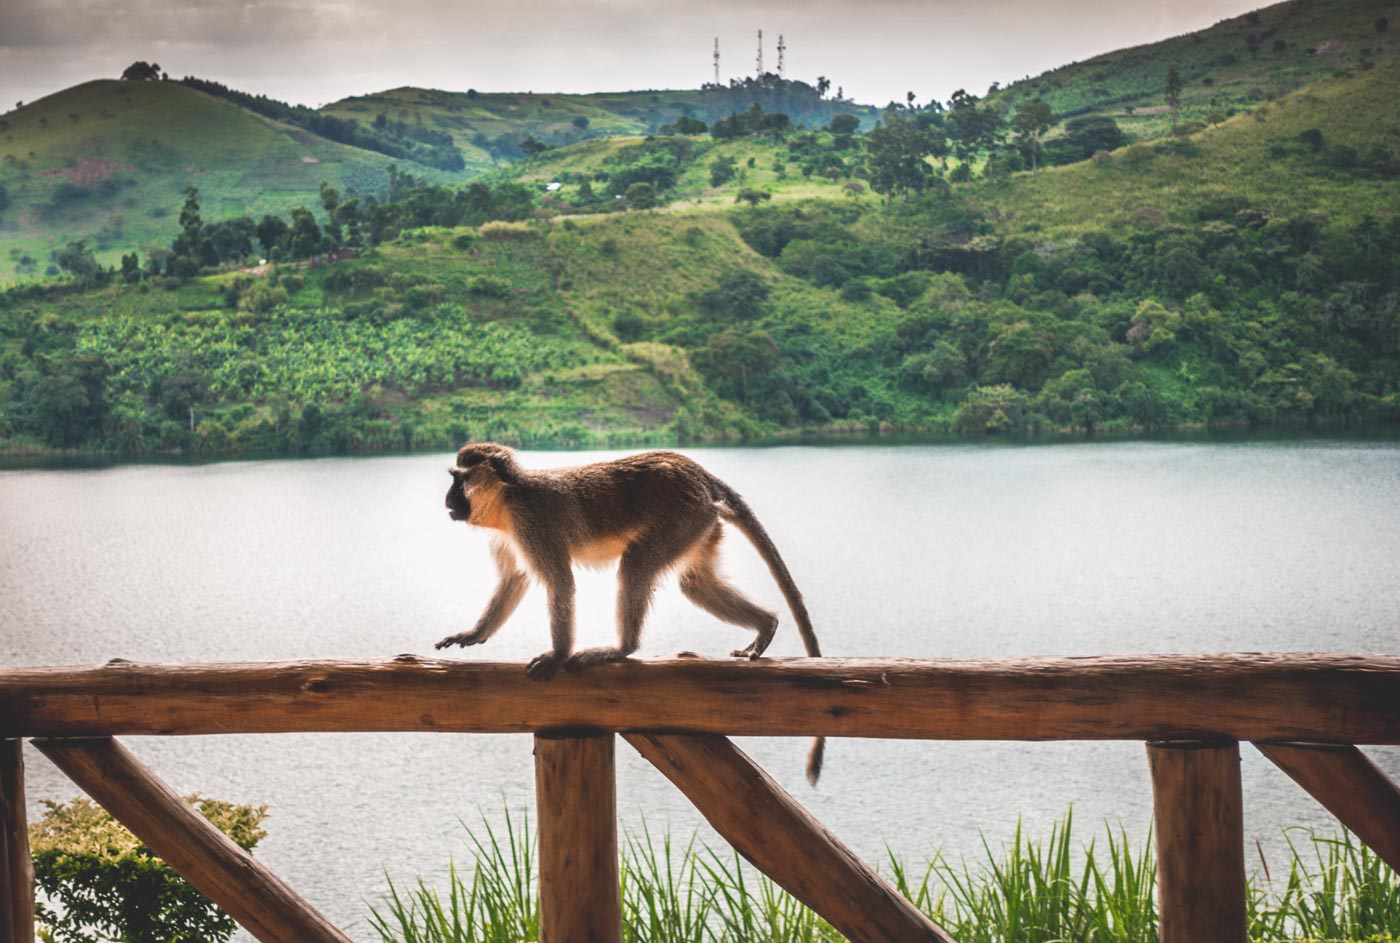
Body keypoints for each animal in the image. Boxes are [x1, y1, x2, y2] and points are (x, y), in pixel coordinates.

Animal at [436, 442, 823, 777]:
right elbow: (514, 580)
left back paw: (622, 649)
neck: (509, 495)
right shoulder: (509, 533)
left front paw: (558, 654)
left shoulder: (532, 524)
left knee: (636, 565)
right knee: (695, 583)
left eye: (459, 480)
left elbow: (560, 582)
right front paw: (474, 633)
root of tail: (697, 472)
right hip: (701, 521)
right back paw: (766, 625)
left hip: (681, 514)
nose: (447, 499)